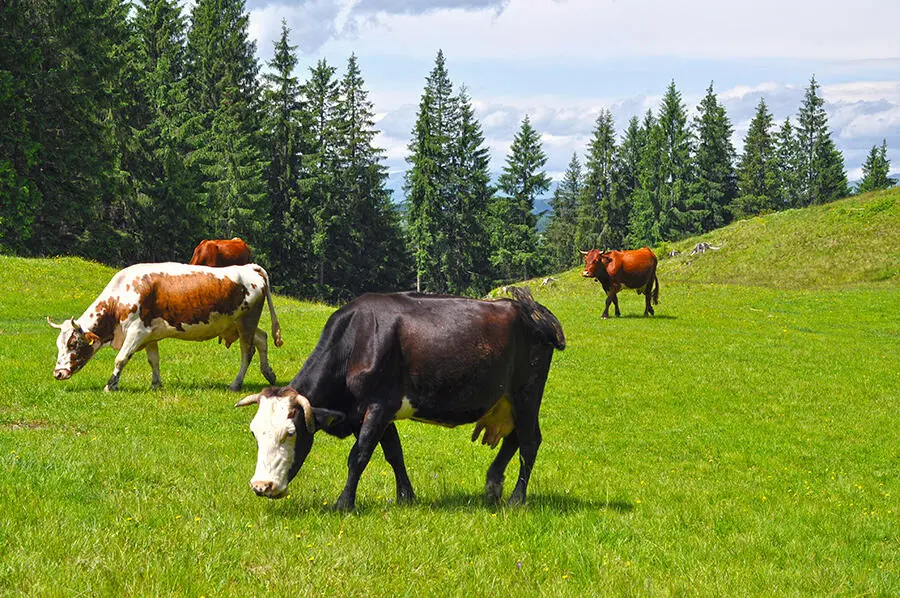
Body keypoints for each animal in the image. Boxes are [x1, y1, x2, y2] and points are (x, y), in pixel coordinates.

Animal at [46, 262, 284, 394]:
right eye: (58, 345)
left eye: (73, 343)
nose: (58, 373)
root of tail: (249, 267)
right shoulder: (150, 335)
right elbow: (154, 360)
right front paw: (155, 384)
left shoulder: (136, 331)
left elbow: (120, 359)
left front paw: (111, 385)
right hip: (239, 324)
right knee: (262, 339)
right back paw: (269, 373)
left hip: (246, 322)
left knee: (247, 352)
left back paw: (236, 384)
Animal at [236, 288, 568, 512]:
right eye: (254, 434)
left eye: (290, 433)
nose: (261, 486)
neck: (357, 340)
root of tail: (532, 310)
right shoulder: (371, 412)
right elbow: (394, 453)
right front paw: (406, 497)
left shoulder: (378, 406)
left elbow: (359, 456)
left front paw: (344, 503)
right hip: (507, 402)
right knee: (514, 438)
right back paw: (492, 485)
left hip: (527, 393)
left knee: (529, 442)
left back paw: (516, 498)